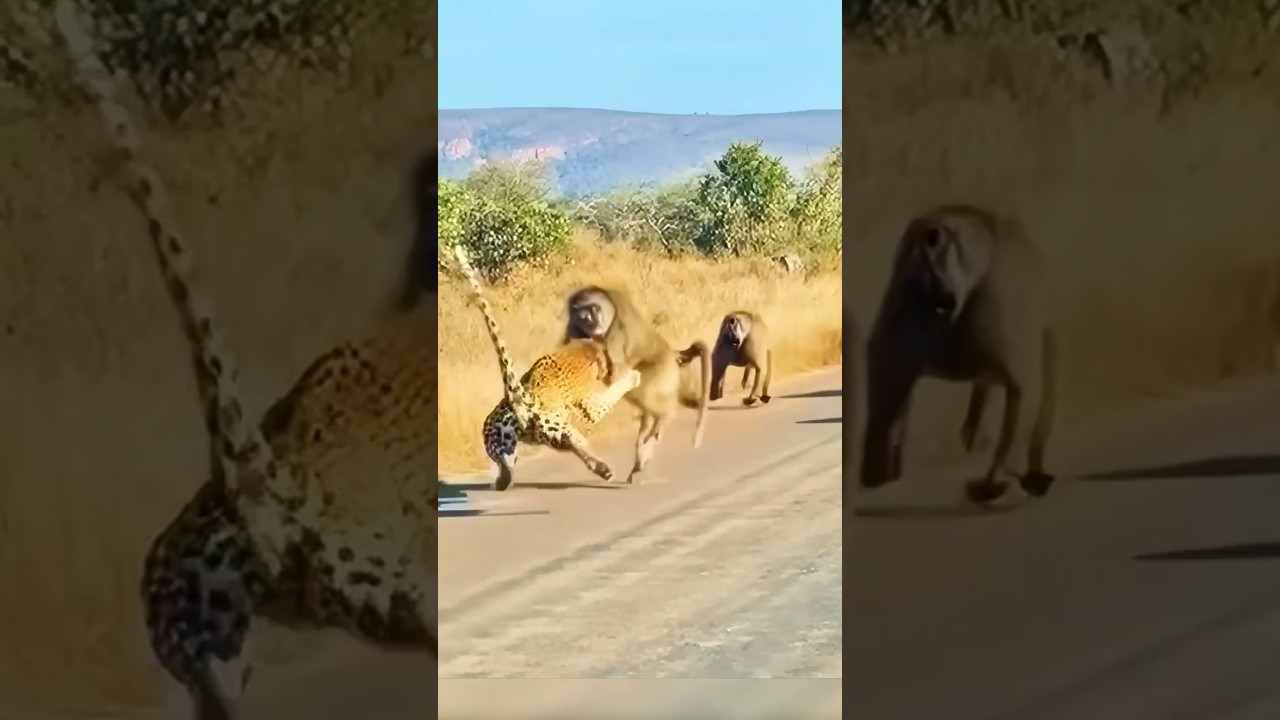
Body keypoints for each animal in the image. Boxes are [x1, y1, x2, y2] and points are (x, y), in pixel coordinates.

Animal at [453, 246, 642, 491]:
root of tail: (518, 399)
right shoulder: (591, 406)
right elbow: (615, 389)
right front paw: (635, 375)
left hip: (498, 438)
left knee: (507, 462)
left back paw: (502, 481)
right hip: (556, 426)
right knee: (577, 442)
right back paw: (606, 470)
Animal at [563, 286, 713, 484]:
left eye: (593, 309)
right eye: (580, 312)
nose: (589, 320)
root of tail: (672, 353)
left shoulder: (616, 335)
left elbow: (613, 374)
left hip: (662, 371)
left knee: (645, 392)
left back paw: (664, 419)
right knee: (643, 408)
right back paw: (641, 453)